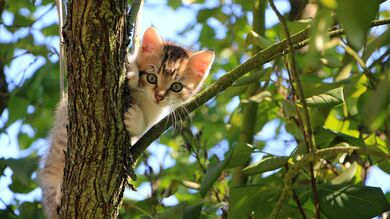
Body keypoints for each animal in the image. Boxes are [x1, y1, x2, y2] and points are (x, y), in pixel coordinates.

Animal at [38, 26, 215, 219]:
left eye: (176, 87)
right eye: (152, 77)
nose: (159, 96)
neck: (144, 98)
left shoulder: (154, 116)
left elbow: (143, 128)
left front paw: (134, 119)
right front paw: (131, 72)